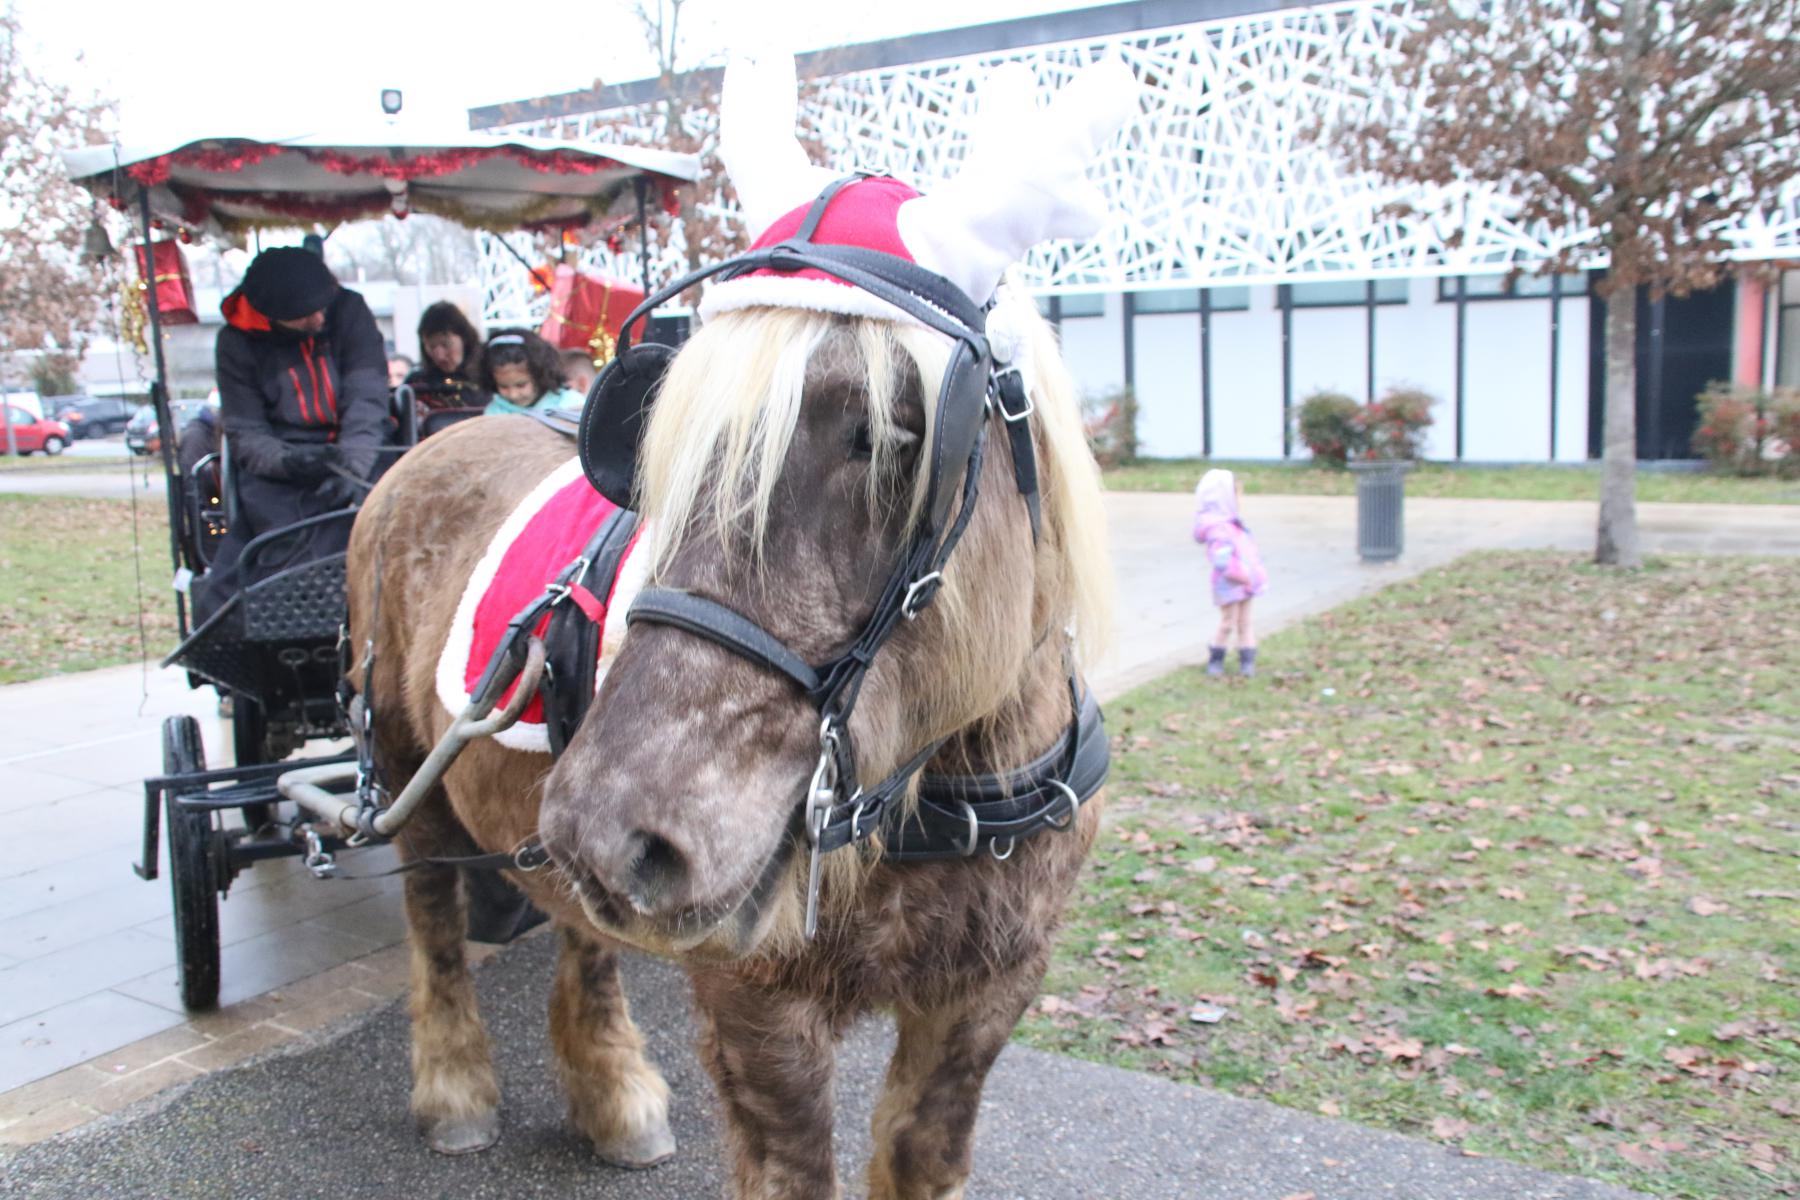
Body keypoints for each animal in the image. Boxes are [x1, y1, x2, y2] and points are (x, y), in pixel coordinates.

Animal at [343, 280, 1114, 1196]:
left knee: (582, 933)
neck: (941, 802)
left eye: (892, 437)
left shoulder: (984, 998)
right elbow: (795, 1170)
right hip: (405, 768)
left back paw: (611, 1091)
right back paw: (455, 1086)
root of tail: (427, 448)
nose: (610, 827)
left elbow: (922, 1153)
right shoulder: (761, 1016)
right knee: (433, 918)